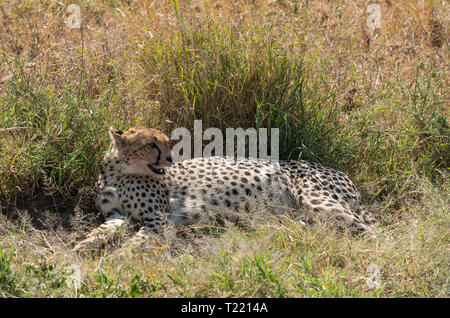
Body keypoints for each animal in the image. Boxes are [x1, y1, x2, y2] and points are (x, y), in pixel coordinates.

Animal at [74, 126, 376, 251]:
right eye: (151, 145)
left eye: (167, 143)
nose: (170, 159)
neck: (116, 174)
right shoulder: (119, 216)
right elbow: (102, 231)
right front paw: (83, 246)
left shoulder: (158, 219)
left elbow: (136, 242)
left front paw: (119, 258)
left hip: (316, 200)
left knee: (372, 232)